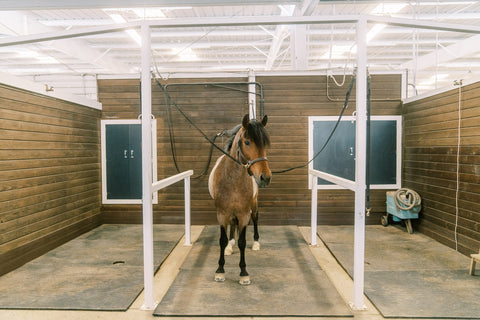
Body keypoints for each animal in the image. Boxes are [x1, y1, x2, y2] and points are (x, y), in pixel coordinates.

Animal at [208, 114, 272, 284]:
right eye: (247, 142)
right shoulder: (221, 214)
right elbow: (222, 240)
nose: (265, 177)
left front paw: (243, 272)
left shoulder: (244, 214)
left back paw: (256, 243)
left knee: (255, 219)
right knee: (232, 226)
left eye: (265, 143)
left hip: (253, 206)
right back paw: (230, 245)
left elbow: (242, 242)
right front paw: (220, 270)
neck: (233, 180)